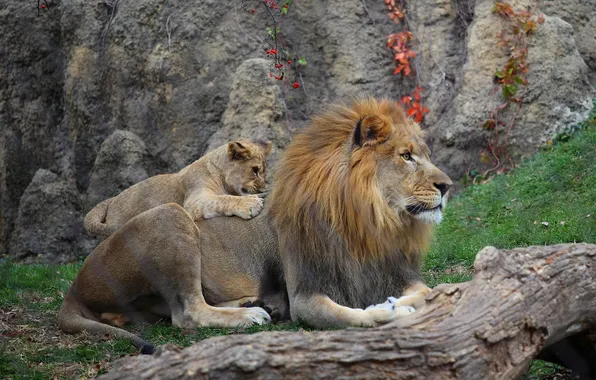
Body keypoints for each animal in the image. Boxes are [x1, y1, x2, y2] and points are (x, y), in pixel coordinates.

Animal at [84, 138, 270, 236]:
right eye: (254, 171)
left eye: (263, 172)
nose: (262, 189)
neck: (220, 174)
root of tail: (112, 199)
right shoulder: (193, 200)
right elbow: (222, 199)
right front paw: (250, 203)